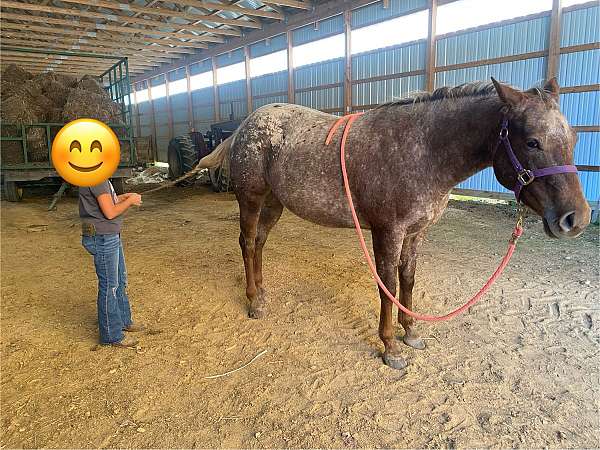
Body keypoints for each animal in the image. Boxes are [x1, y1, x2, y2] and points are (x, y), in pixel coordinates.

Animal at [198, 78, 592, 370]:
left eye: (573, 138)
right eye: (532, 141)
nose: (576, 219)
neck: (423, 150)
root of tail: (245, 125)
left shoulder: (416, 233)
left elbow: (407, 279)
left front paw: (410, 332)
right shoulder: (388, 232)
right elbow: (386, 283)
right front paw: (390, 347)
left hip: (274, 203)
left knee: (260, 243)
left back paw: (263, 293)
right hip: (251, 199)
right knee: (247, 242)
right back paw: (254, 301)